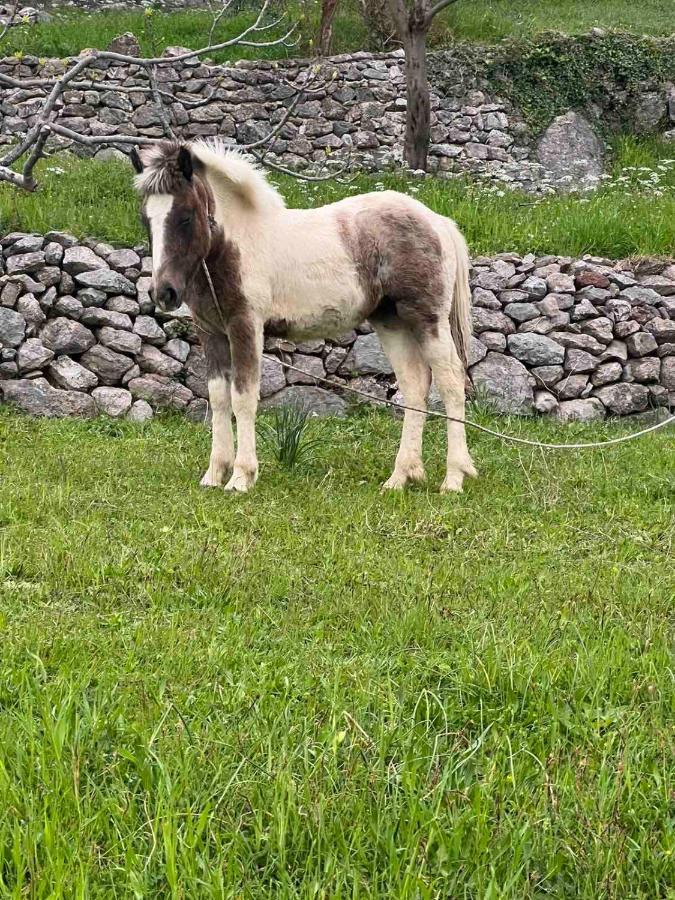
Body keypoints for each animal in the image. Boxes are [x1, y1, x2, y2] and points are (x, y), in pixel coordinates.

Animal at [132, 139, 478, 492]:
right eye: (146, 219)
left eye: (186, 217)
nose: (163, 293)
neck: (235, 246)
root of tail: (437, 221)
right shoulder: (211, 332)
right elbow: (218, 399)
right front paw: (214, 475)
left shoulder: (246, 326)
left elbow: (243, 397)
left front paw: (241, 477)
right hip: (392, 322)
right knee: (414, 386)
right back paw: (400, 477)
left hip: (428, 321)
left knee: (451, 383)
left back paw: (453, 479)